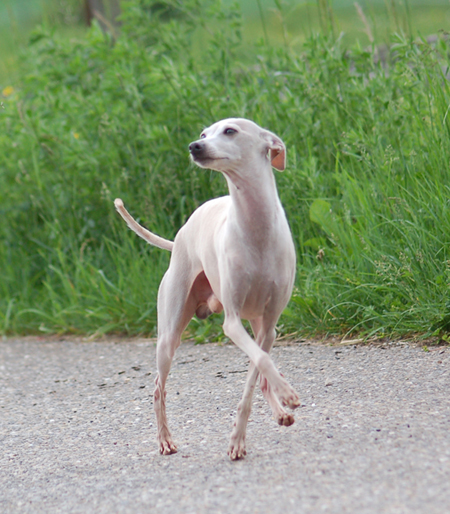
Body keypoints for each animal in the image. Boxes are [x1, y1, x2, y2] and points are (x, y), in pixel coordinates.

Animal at [114, 118, 300, 458]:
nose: (194, 146)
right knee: (158, 388)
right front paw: (286, 395)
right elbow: (262, 361)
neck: (256, 229)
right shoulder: (232, 322)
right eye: (203, 134)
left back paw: (280, 411)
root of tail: (180, 237)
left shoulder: (270, 325)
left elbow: (256, 373)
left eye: (230, 131)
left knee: (260, 371)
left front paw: (243, 433)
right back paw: (165, 439)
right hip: (169, 335)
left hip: (260, 325)